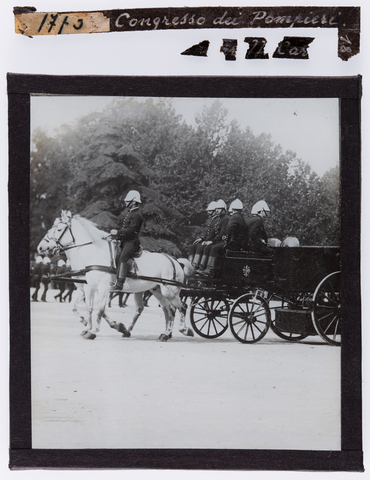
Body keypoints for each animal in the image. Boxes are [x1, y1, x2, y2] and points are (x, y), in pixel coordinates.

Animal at [36, 211, 195, 342]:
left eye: (58, 229)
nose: (41, 247)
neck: (93, 254)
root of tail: (175, 261)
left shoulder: (102, 288)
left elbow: (100, 310)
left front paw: (94, 331)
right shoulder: (88, 288)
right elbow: (87, 308)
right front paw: (88, 327)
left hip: (169, 291)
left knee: (180, 307)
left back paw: (182, 330)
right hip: (157, 290)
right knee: (166, 309)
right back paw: (163, 333)